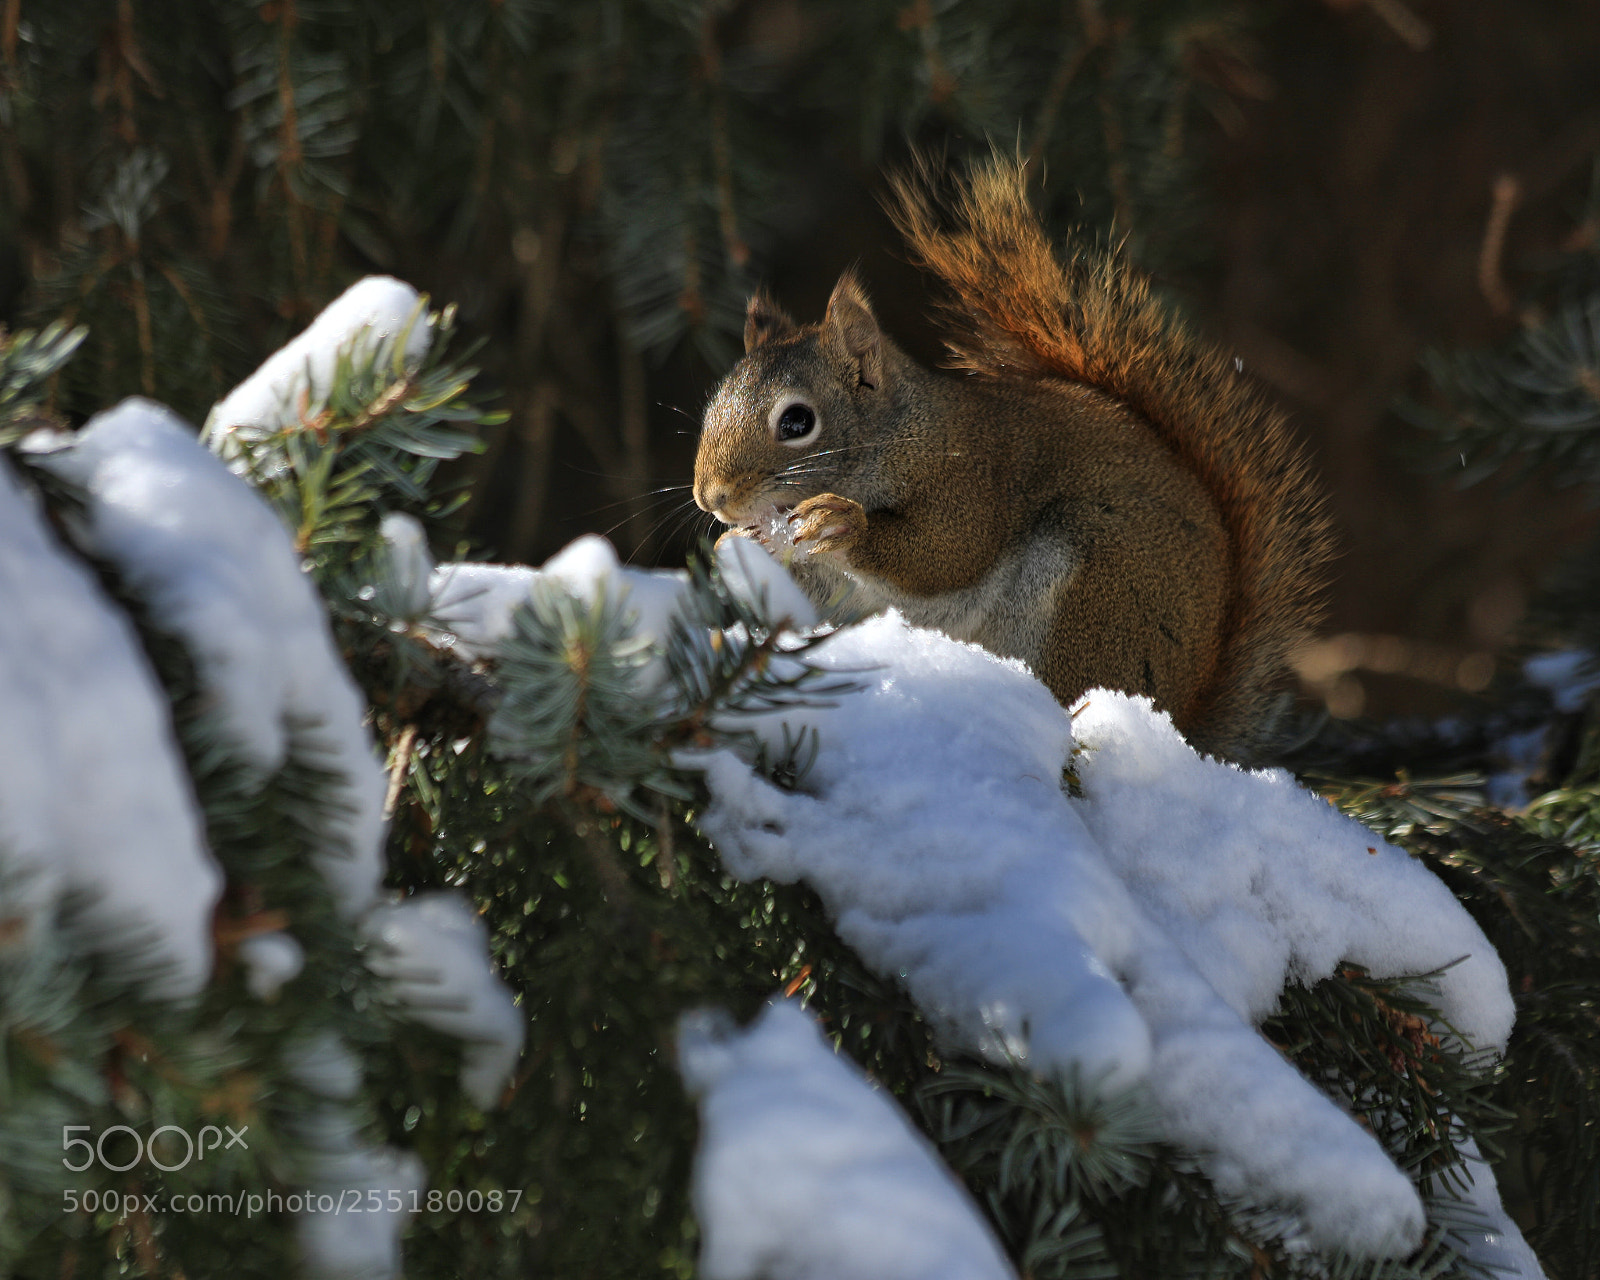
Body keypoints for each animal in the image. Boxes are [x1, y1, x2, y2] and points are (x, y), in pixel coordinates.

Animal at [693, 156, 1331, 760]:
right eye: (713, 400)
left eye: (797, 422)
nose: (712, 499)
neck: (895, 436)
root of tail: (1183, 713)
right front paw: (735, 548)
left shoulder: (972, 474)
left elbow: (947, 551)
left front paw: (840, 520)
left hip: (1098, 590)